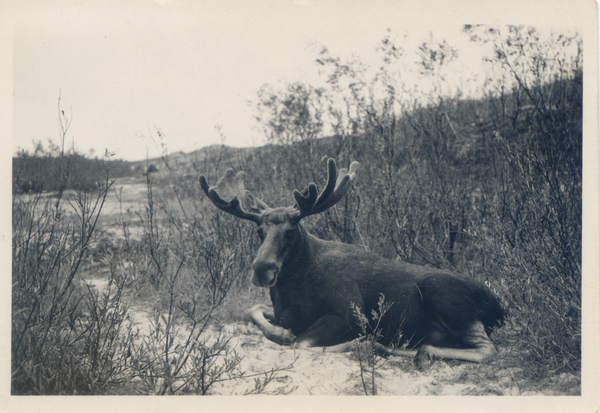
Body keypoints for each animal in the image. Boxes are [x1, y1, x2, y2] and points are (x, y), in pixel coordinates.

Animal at [199, 158, 504, 366]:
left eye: (291, 231)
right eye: (259, 231)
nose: (262, 270)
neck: (293, 288)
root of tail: (501, 307)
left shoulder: (347, 313)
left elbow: (300, 343)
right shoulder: (281, 311)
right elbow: (252, 309)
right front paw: (281, 331)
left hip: (447, 298)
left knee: (488, 349)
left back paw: (386, 346)